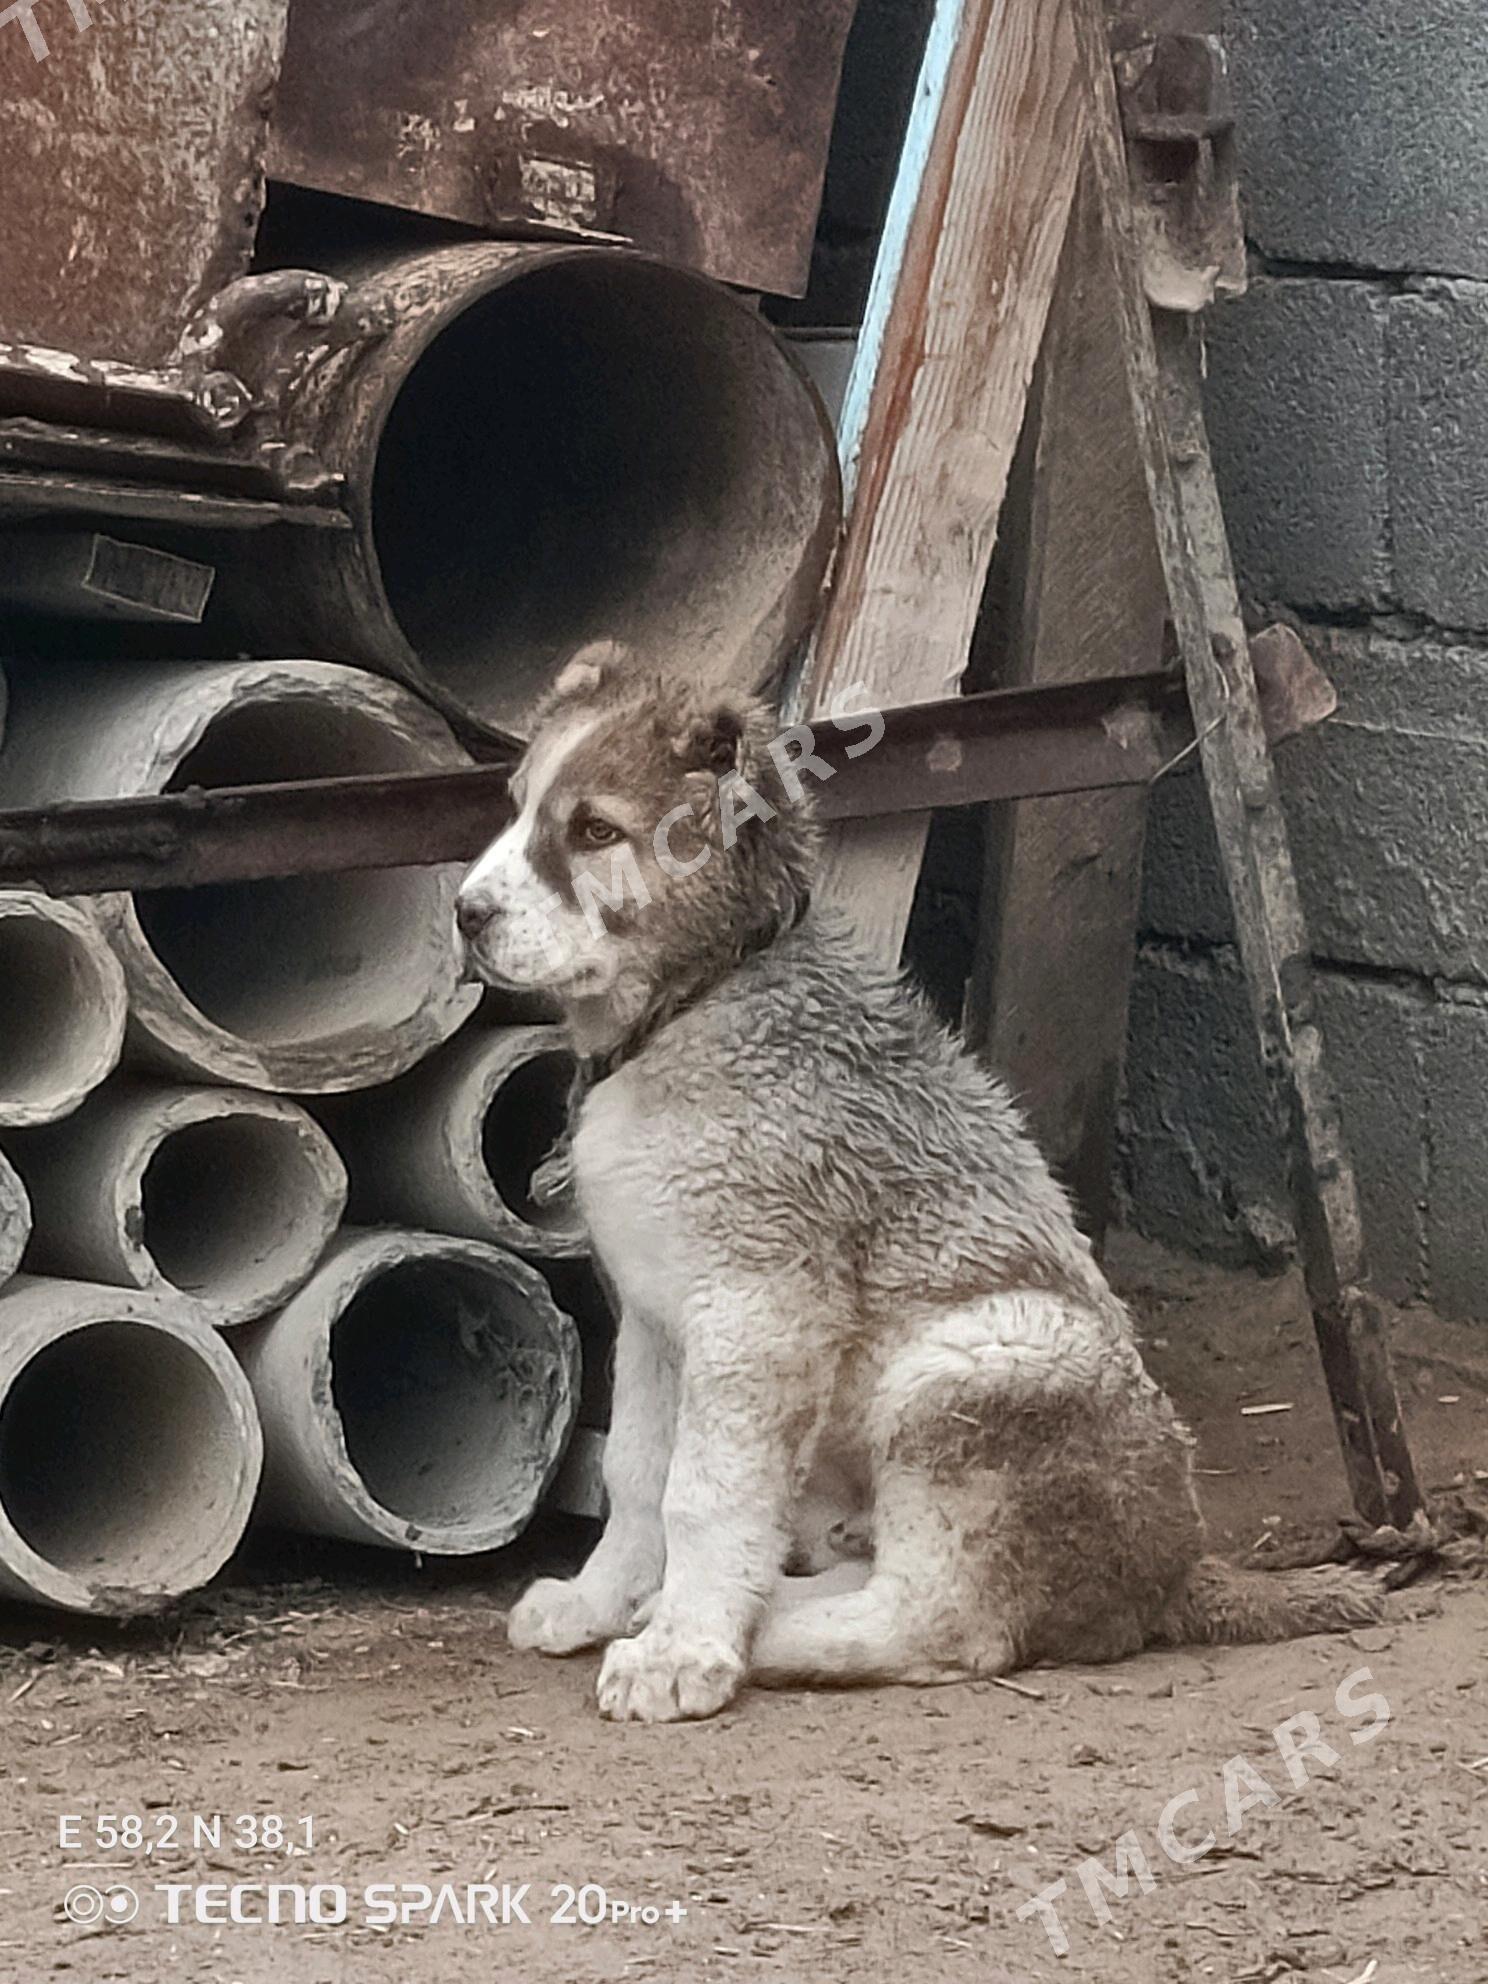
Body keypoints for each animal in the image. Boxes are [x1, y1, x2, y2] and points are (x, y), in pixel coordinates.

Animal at [458, 650, 1388, 1722]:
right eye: (517, 809)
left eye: (596, 831)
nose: (464, 913)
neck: (698, 1003)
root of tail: (1180, 1571)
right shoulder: (655, 1318)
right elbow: (638, 1470)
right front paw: (602, 1600)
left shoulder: (758, 1313)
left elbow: (703, 1491)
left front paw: (682, 1651)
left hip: (970, 1370)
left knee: (943, 1620)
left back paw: (765, 1632)